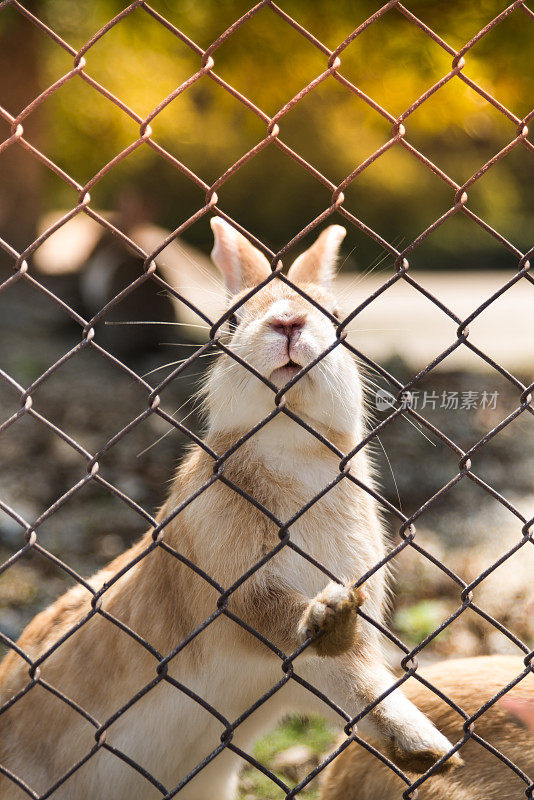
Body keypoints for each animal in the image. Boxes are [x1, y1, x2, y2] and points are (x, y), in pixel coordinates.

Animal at [0, 219, 460, 800]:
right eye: (232, 322)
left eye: (336, 319)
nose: (288, 322)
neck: (290, 448)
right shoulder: (234, 595)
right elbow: (290, 624)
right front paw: (329, 617)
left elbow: (360, 681)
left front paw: (426, 751)